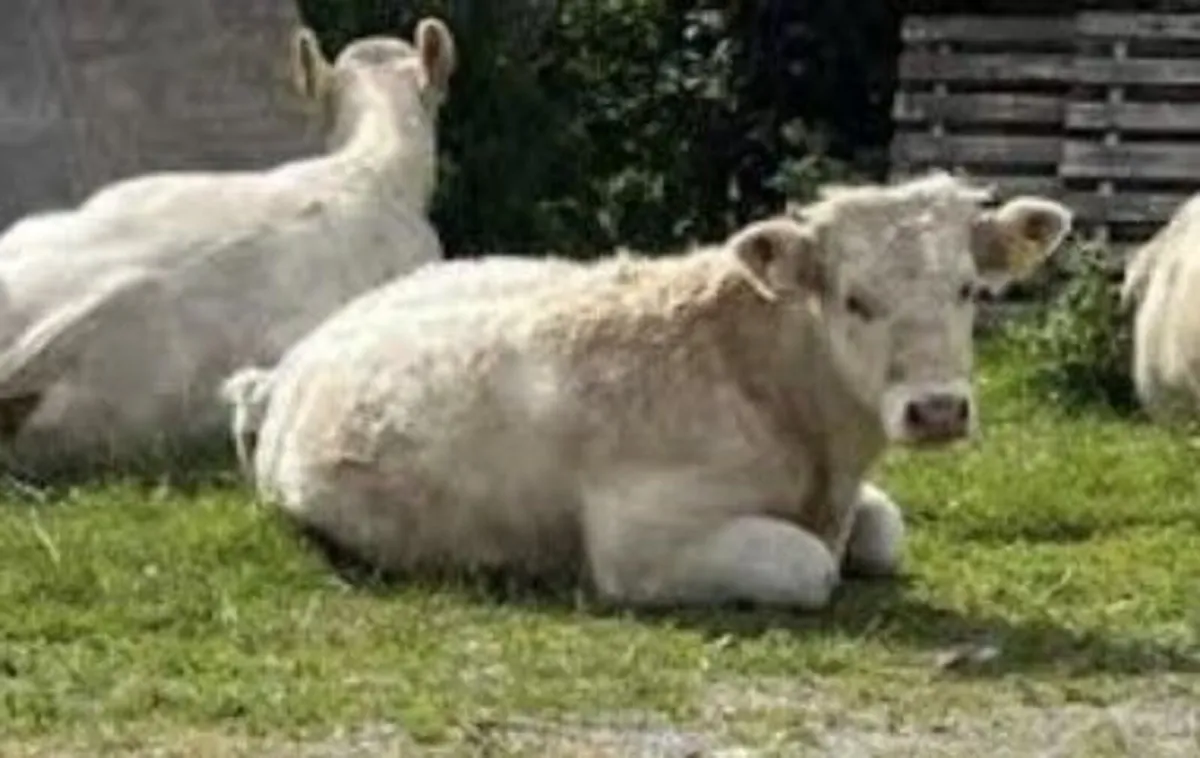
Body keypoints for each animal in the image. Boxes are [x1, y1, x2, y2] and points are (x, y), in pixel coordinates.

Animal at [225, 171, 1072, 609]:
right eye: (855, 300)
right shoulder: (642, 541)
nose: (938, 409)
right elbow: (811, 568)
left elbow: (885, 533)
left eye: (968, 289)